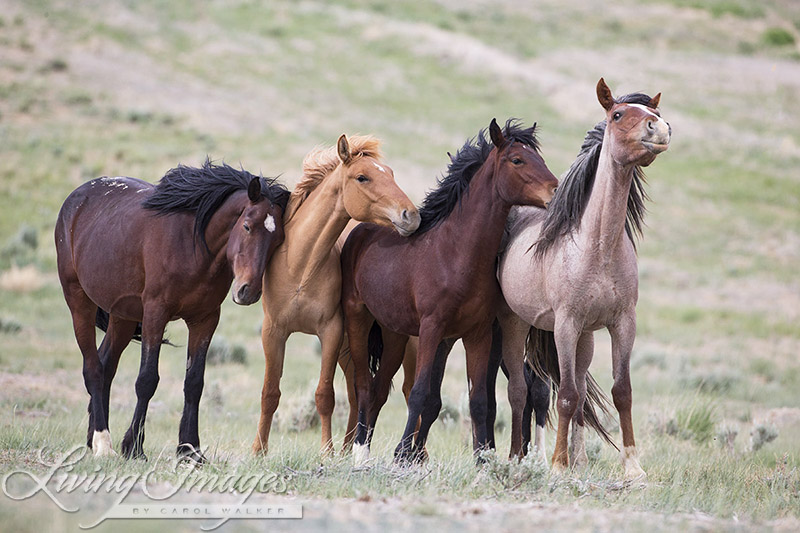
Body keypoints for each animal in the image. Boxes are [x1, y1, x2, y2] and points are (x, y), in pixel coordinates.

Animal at [54, 160, 290, 460]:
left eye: (279, 238)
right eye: (247, 227)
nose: (248, 291)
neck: (191, 245)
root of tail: (75, 199)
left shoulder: (205, 320)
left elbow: (194, 383)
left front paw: (190, 449)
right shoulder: (156, 313)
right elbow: (147, 380)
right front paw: (134, 446)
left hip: (123, 317)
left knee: (106, 366)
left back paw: (92, 438)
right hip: (79, 301)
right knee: (93, 369)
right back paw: (103, 443)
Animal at [253, 133, 422, 454]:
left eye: (391, 173)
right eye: (362, 177)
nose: (412, 216)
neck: (300, 266)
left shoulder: (330, 331)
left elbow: (324, 395)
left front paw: (326, 452)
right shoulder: (273, 332)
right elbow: (269, 392)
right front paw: (259, 451)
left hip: (404, 346)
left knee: (407, 390)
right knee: (359, 394)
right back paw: (349, 450)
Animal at [340, 119, 560, 462]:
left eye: (540, 158)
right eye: (517, 160)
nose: (556, 191)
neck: (455, 254)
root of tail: (361, 230)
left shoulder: (478, 334)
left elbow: (479, 400)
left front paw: (483, 459)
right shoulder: (433, 330)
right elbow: (420, 393)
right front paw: (403, 456)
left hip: (395, 334)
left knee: (378, 388)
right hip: (358, 320)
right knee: (363, 385)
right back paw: (361, 451)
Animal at [496, 79, 672, 478]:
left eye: (655, 112)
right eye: (618, 114)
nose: (660, 129)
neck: (599, 247)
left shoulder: (621, 323)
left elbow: (621, 391)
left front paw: (632, 467)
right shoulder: (566, 324)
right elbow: (566, 395)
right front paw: (559, 466)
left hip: (586, 340)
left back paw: (578, 460)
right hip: (516, 325)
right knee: (520, 390)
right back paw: (518, 458)